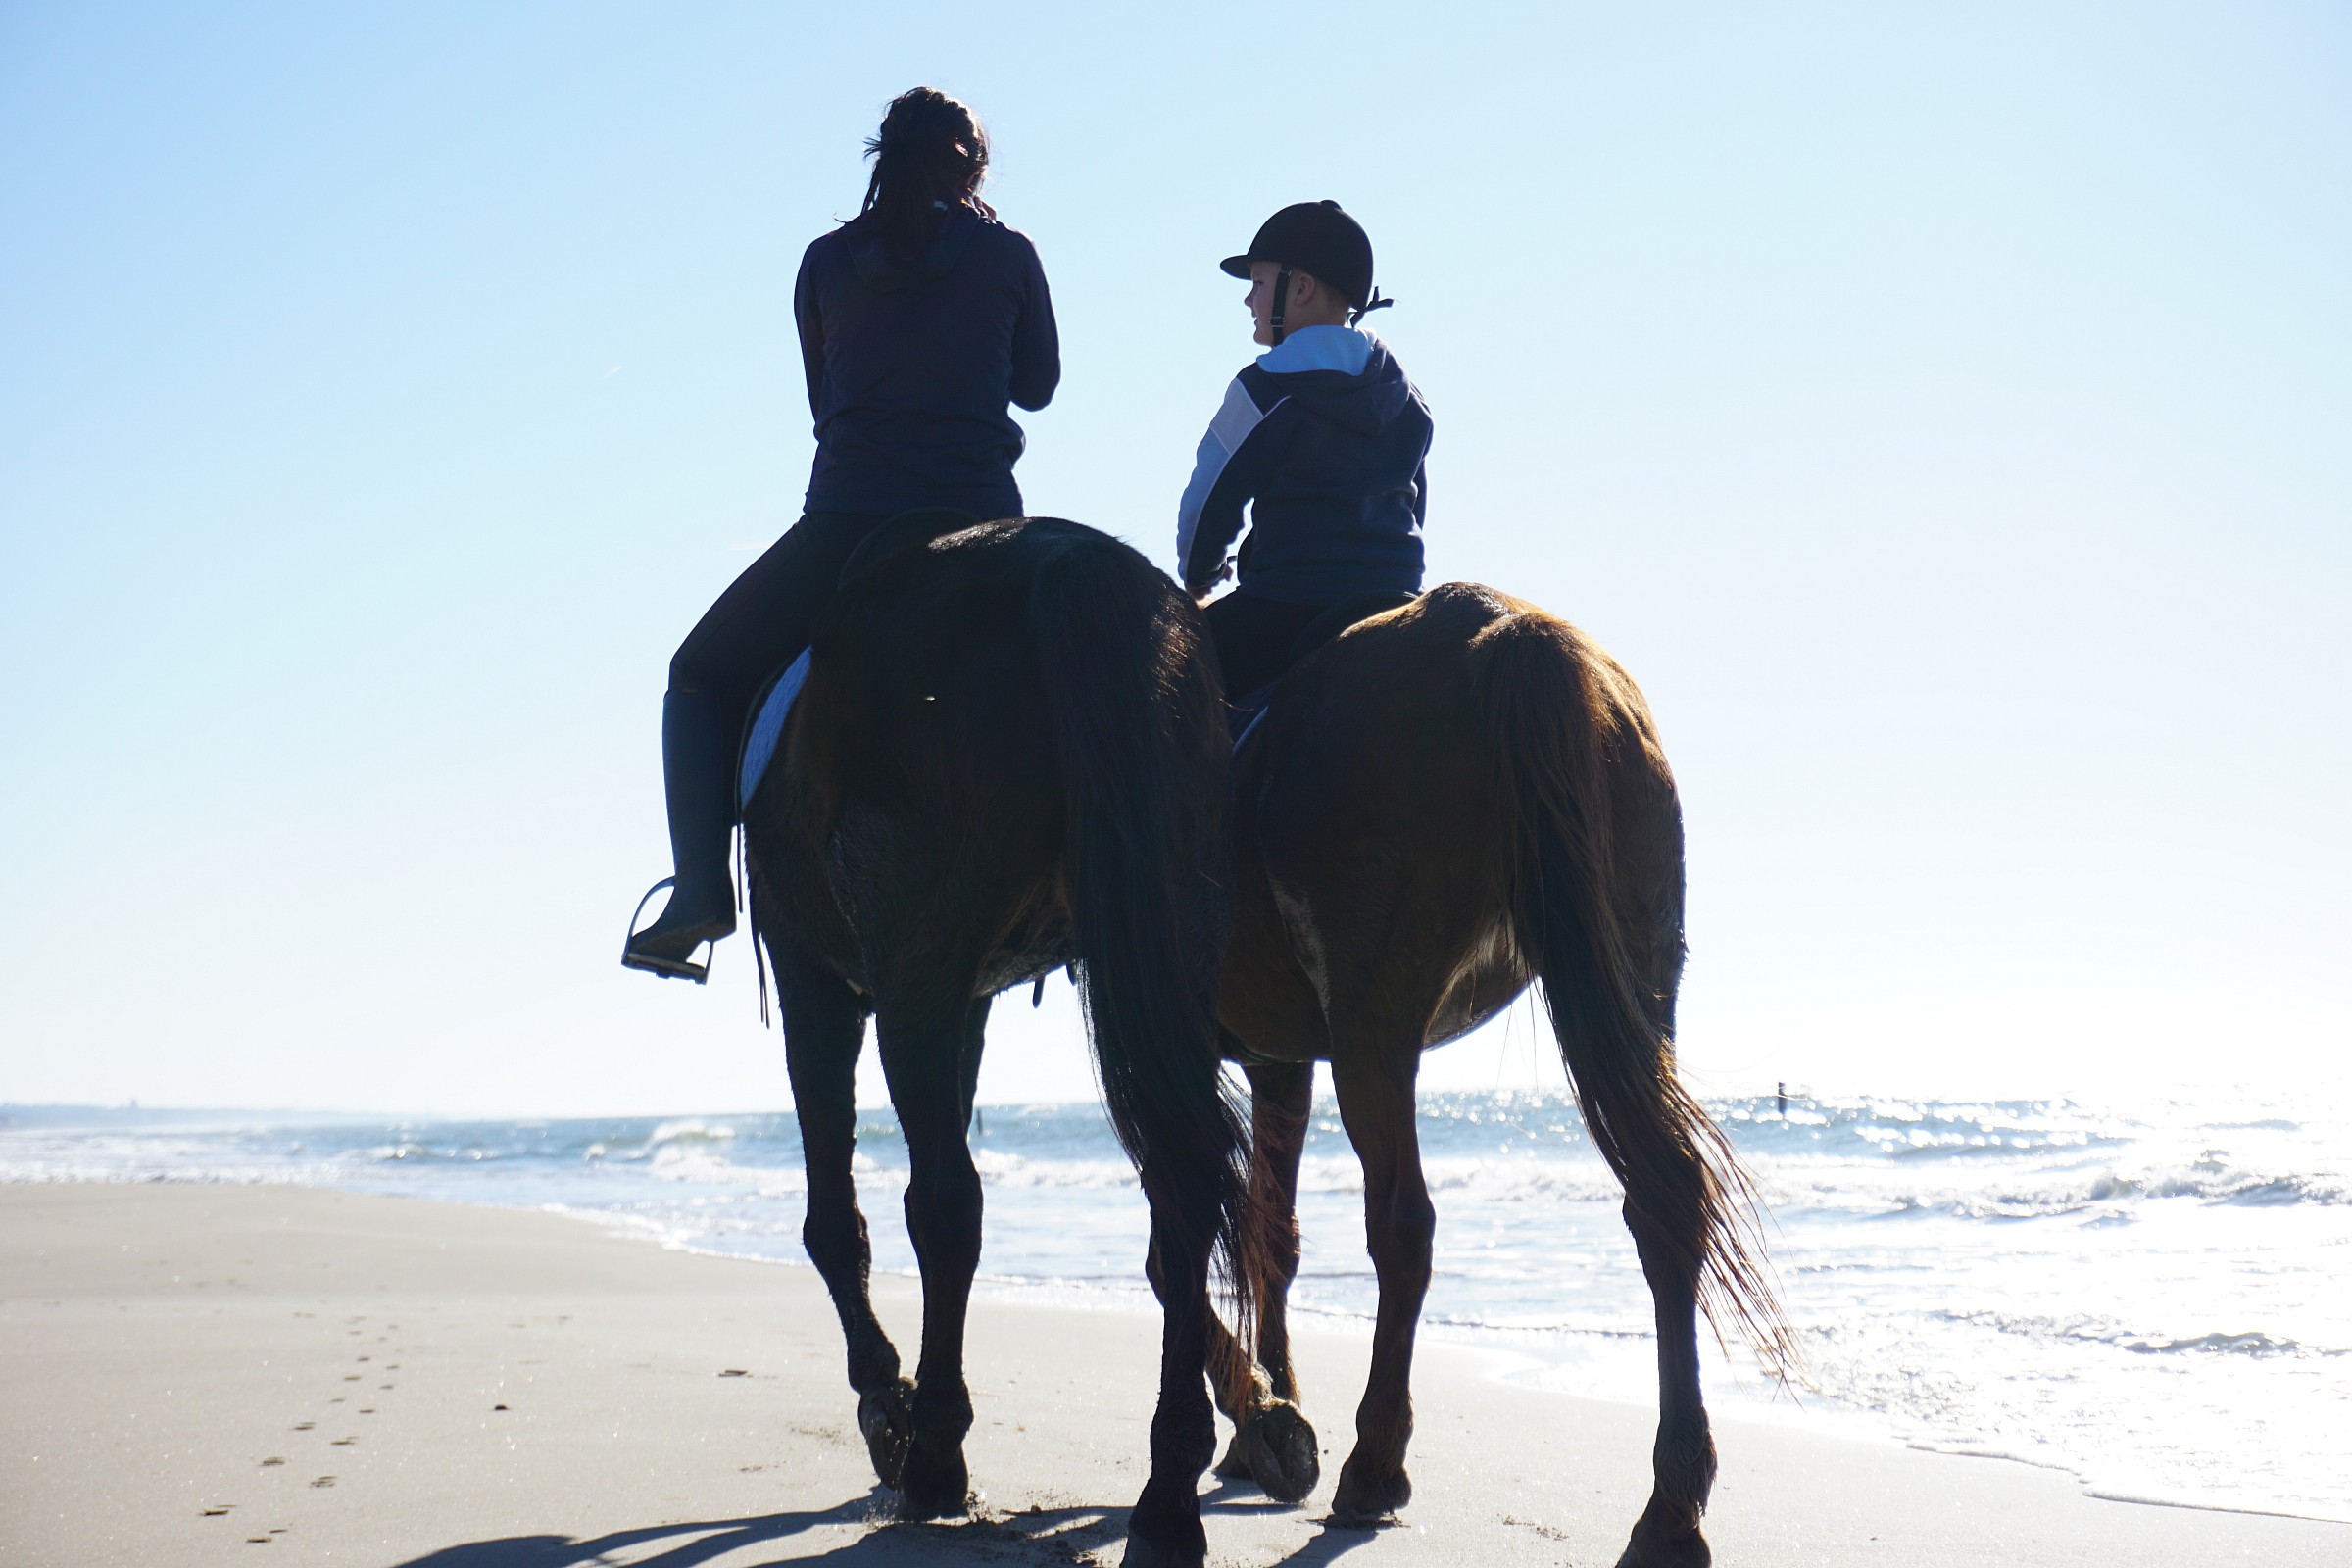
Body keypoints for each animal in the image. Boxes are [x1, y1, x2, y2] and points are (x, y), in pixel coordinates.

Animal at [738, 513, 1249, 1568]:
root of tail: (1068, 558)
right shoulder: (965, 1000)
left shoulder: (821, 979)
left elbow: (833, 1217)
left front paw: (887, 1408)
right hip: (1168, 942)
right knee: (1182, 1187)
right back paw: (1169, 1491)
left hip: (915, 977)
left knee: (943, 1202)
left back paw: (934, 1454)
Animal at [1199, 584, 1784, 1568]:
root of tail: (1503, 625)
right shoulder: (1279, 1065)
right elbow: (1269, 1236)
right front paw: (1269, 1415)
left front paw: (1262, 1415)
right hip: (1635, 978)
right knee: (1664, 1198)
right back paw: (1671, 1505)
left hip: (1375, 1029)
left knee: (1403, 1225)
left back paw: (1375, 1464)